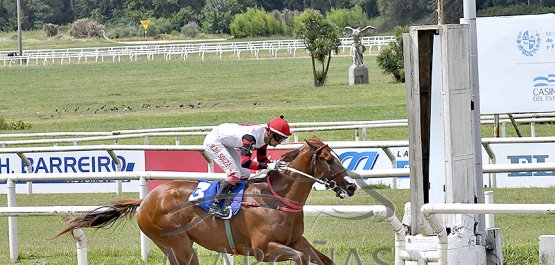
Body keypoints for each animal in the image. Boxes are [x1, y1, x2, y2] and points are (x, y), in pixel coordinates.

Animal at [52, 135, 356, 262]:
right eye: (330, 159)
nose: (351, 186)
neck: (276, 199)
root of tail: (146, 200)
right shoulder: (263, 249)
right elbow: (301, 259)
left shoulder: (296, 241)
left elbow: (321, 260)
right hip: (177, 242)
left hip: (172, 246)